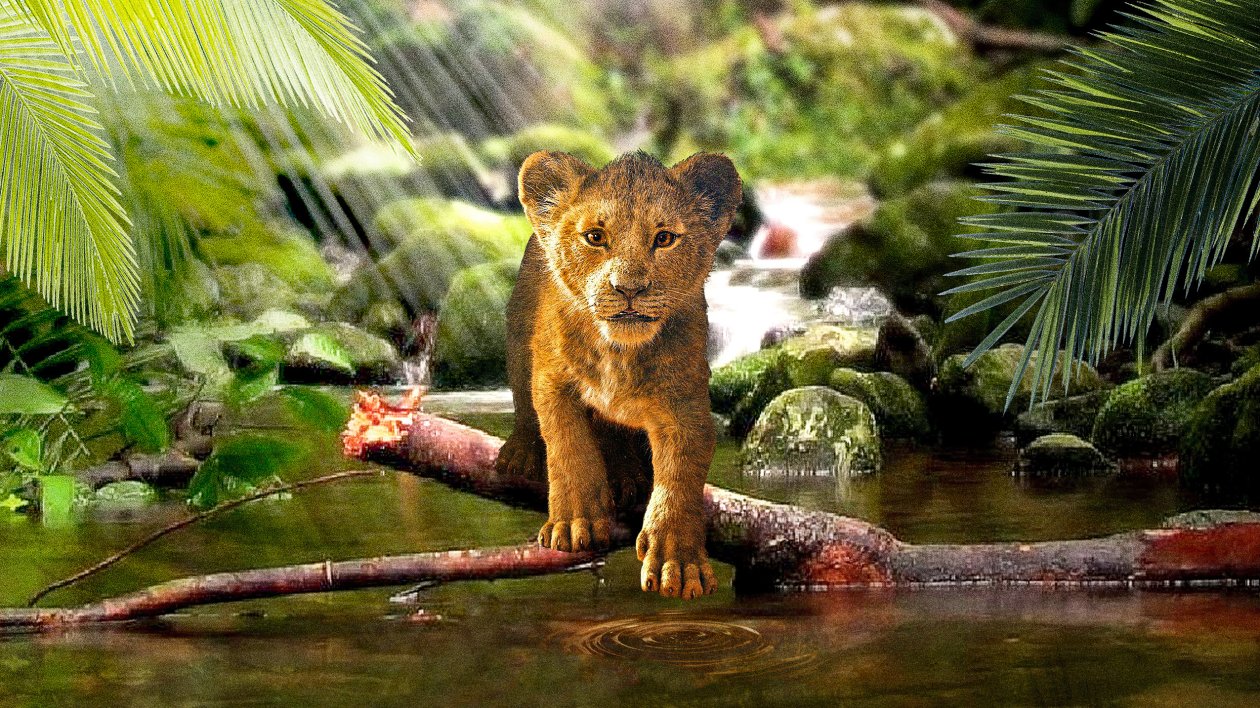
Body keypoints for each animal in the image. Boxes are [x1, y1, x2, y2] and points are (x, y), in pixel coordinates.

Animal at [494, 150, 742, 598]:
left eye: (664, 238)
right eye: (595, 236)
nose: (629, 288)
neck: (619, 353)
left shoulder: (685, 403)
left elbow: (680, 477)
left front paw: (678, 562)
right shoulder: (552, 379)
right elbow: (568, 446)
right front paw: (574, 522)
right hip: (519, 334)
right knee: (524, 403)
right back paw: (522, 453)